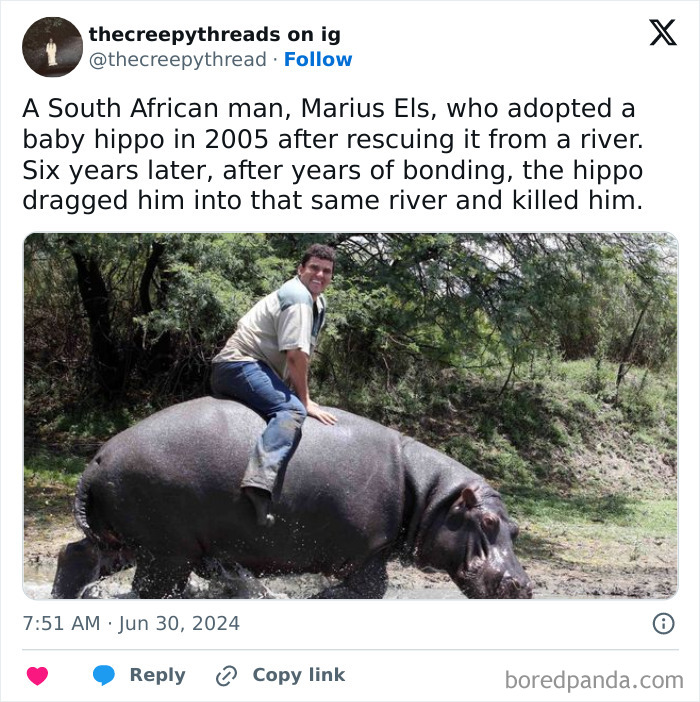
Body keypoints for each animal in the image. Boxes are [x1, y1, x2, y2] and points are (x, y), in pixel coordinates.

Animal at [52, 397, 532, 599]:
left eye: (515, 529)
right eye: (488, 522)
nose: (524, 586)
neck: (432, 497)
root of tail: (96, 462)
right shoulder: (368, 550)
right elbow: (370, 589)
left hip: (126, 540)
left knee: (75, 555)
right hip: (166, 549)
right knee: (151, 589)